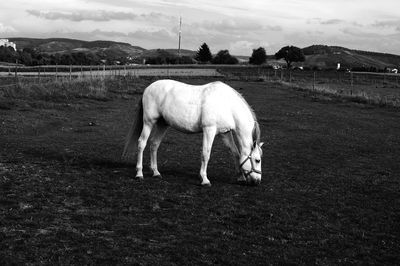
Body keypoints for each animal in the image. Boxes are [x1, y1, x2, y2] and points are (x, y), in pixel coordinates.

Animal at [123, 80, 264, 186]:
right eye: (257, 160)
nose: (257, 181)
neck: (226, 104)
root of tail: (148, 88)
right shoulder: (209, 130)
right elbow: (206, 154)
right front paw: (204, 179)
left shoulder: (225, 133)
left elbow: (235, 153)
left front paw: (240, 177)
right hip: (149, 122)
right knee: (142, 143)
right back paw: (139, 173)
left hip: (163, 124)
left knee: (154, 144)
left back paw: (156, 172)